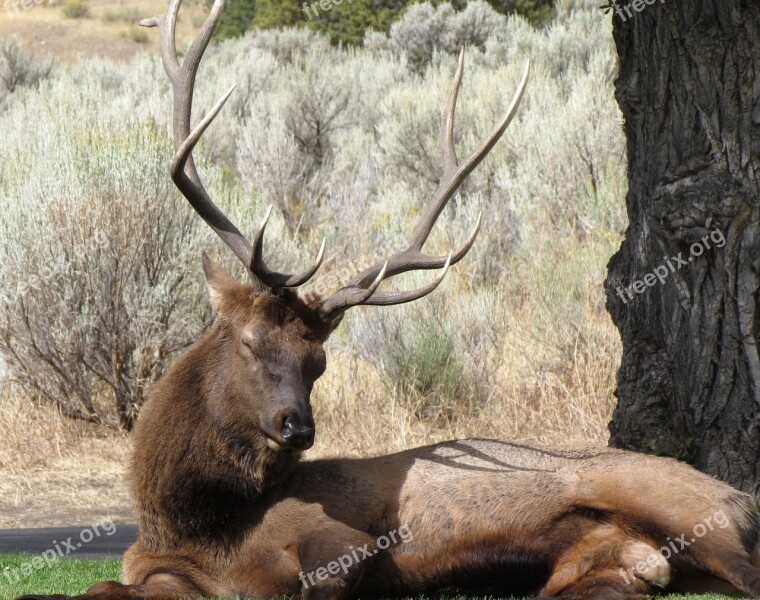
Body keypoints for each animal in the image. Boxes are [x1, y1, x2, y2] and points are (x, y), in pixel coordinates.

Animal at [14, 1, 760, 600]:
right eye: (252, 342)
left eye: (318, 362)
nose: (298, 428)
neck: (194, 524)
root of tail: (738, 495)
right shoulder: (159, 570)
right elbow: (105, 585)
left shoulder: (336, 548)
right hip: (609, 566)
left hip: (692, 510)